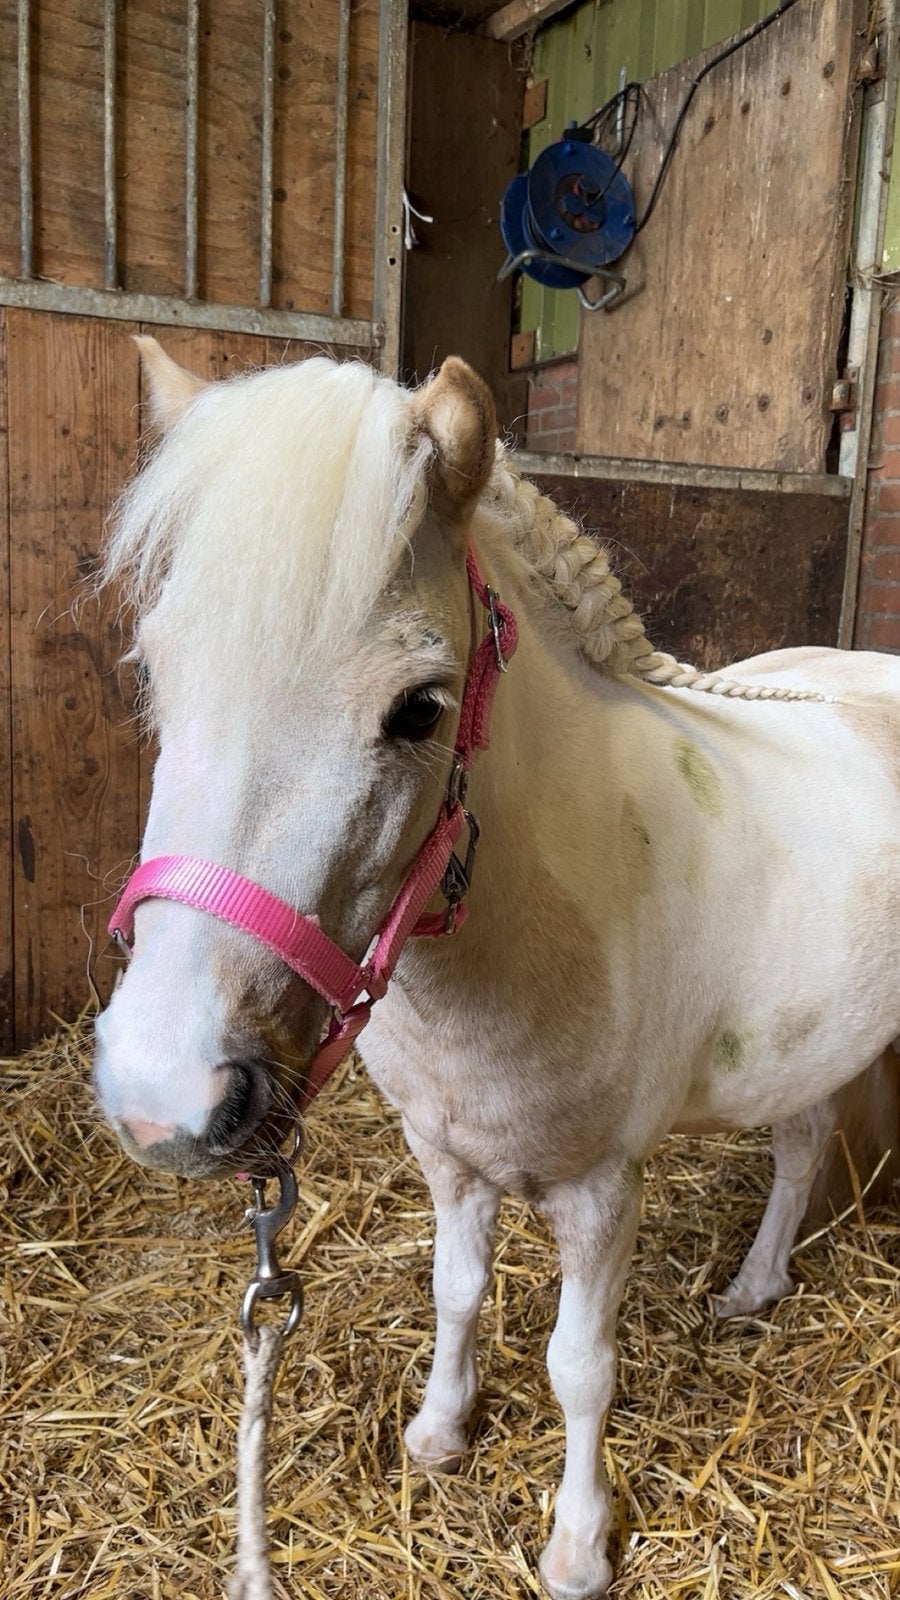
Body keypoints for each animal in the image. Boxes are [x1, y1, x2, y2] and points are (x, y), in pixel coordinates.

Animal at [94, 338, 900, 1599]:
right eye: (155, 669)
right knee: (805, 1139)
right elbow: (456, 1290)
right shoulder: (448, 1154)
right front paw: (438, 1432)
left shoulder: (602, 1185)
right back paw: (757, 1285)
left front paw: (577, 1545)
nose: (159, 1094)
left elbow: (581, 1365)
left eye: (419, 709)